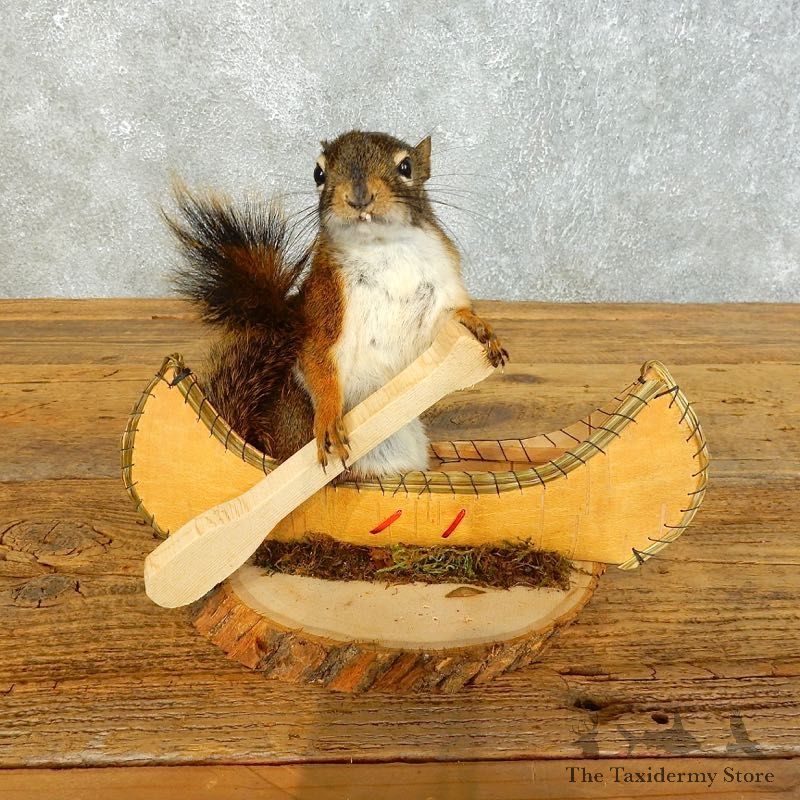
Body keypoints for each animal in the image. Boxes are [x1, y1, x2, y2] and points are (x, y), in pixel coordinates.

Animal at [166, 130, 508, 479]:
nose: (359, 197)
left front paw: (477, 324)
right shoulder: (327, 303)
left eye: (406, 167)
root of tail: (270, 451)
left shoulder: (438, 288)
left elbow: (444, 326)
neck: (382, 247)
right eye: (318, 173)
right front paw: (329, 417)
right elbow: (318, 360)